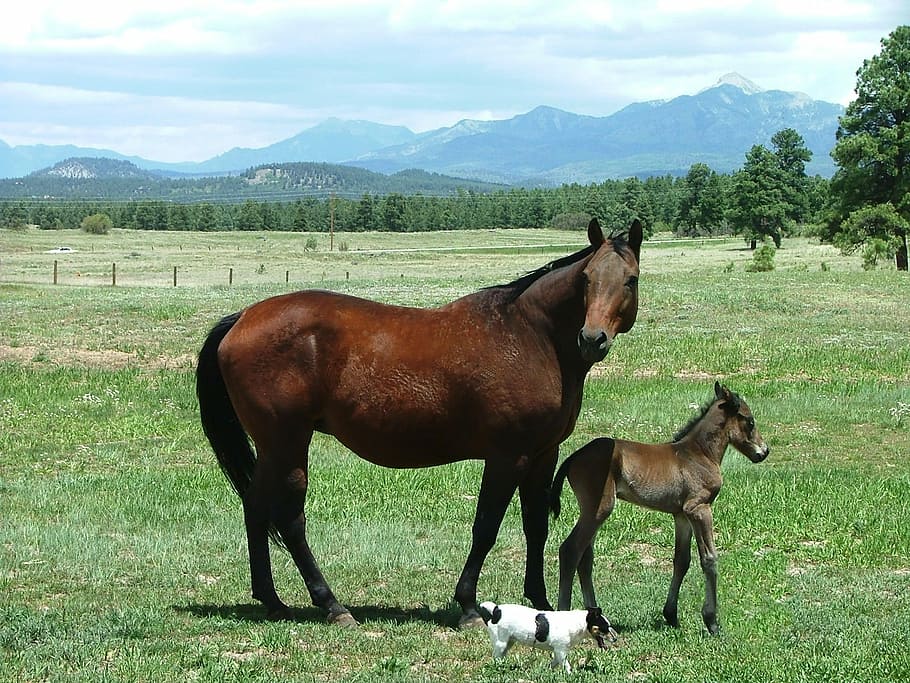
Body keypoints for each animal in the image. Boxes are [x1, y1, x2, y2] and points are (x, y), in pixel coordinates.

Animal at [195, 218, 643, 627]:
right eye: (586, 278)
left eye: (630, 279)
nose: (592, 339)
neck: (530, 336)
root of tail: (243, 317)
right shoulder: (507, 457)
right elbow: (486, 528)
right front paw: (468, 606)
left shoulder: (543, 455)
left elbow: (535, 527)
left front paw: (542, 603)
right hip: (287, 443)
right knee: (290, 519)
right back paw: (332, 605)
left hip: (273, 447)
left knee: (255, 507)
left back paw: (272, 601)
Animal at [550, 382, 769, 634]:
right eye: (749, 421)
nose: (764, 451)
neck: (699, 453)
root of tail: (573, 457)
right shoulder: (699, 508)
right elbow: (709, 559)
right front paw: (712, 621)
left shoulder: (681, 515)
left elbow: (682, 560)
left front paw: (671, 615)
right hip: (599, 509)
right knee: (570, 551)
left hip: (593, 512)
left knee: (585, 558)